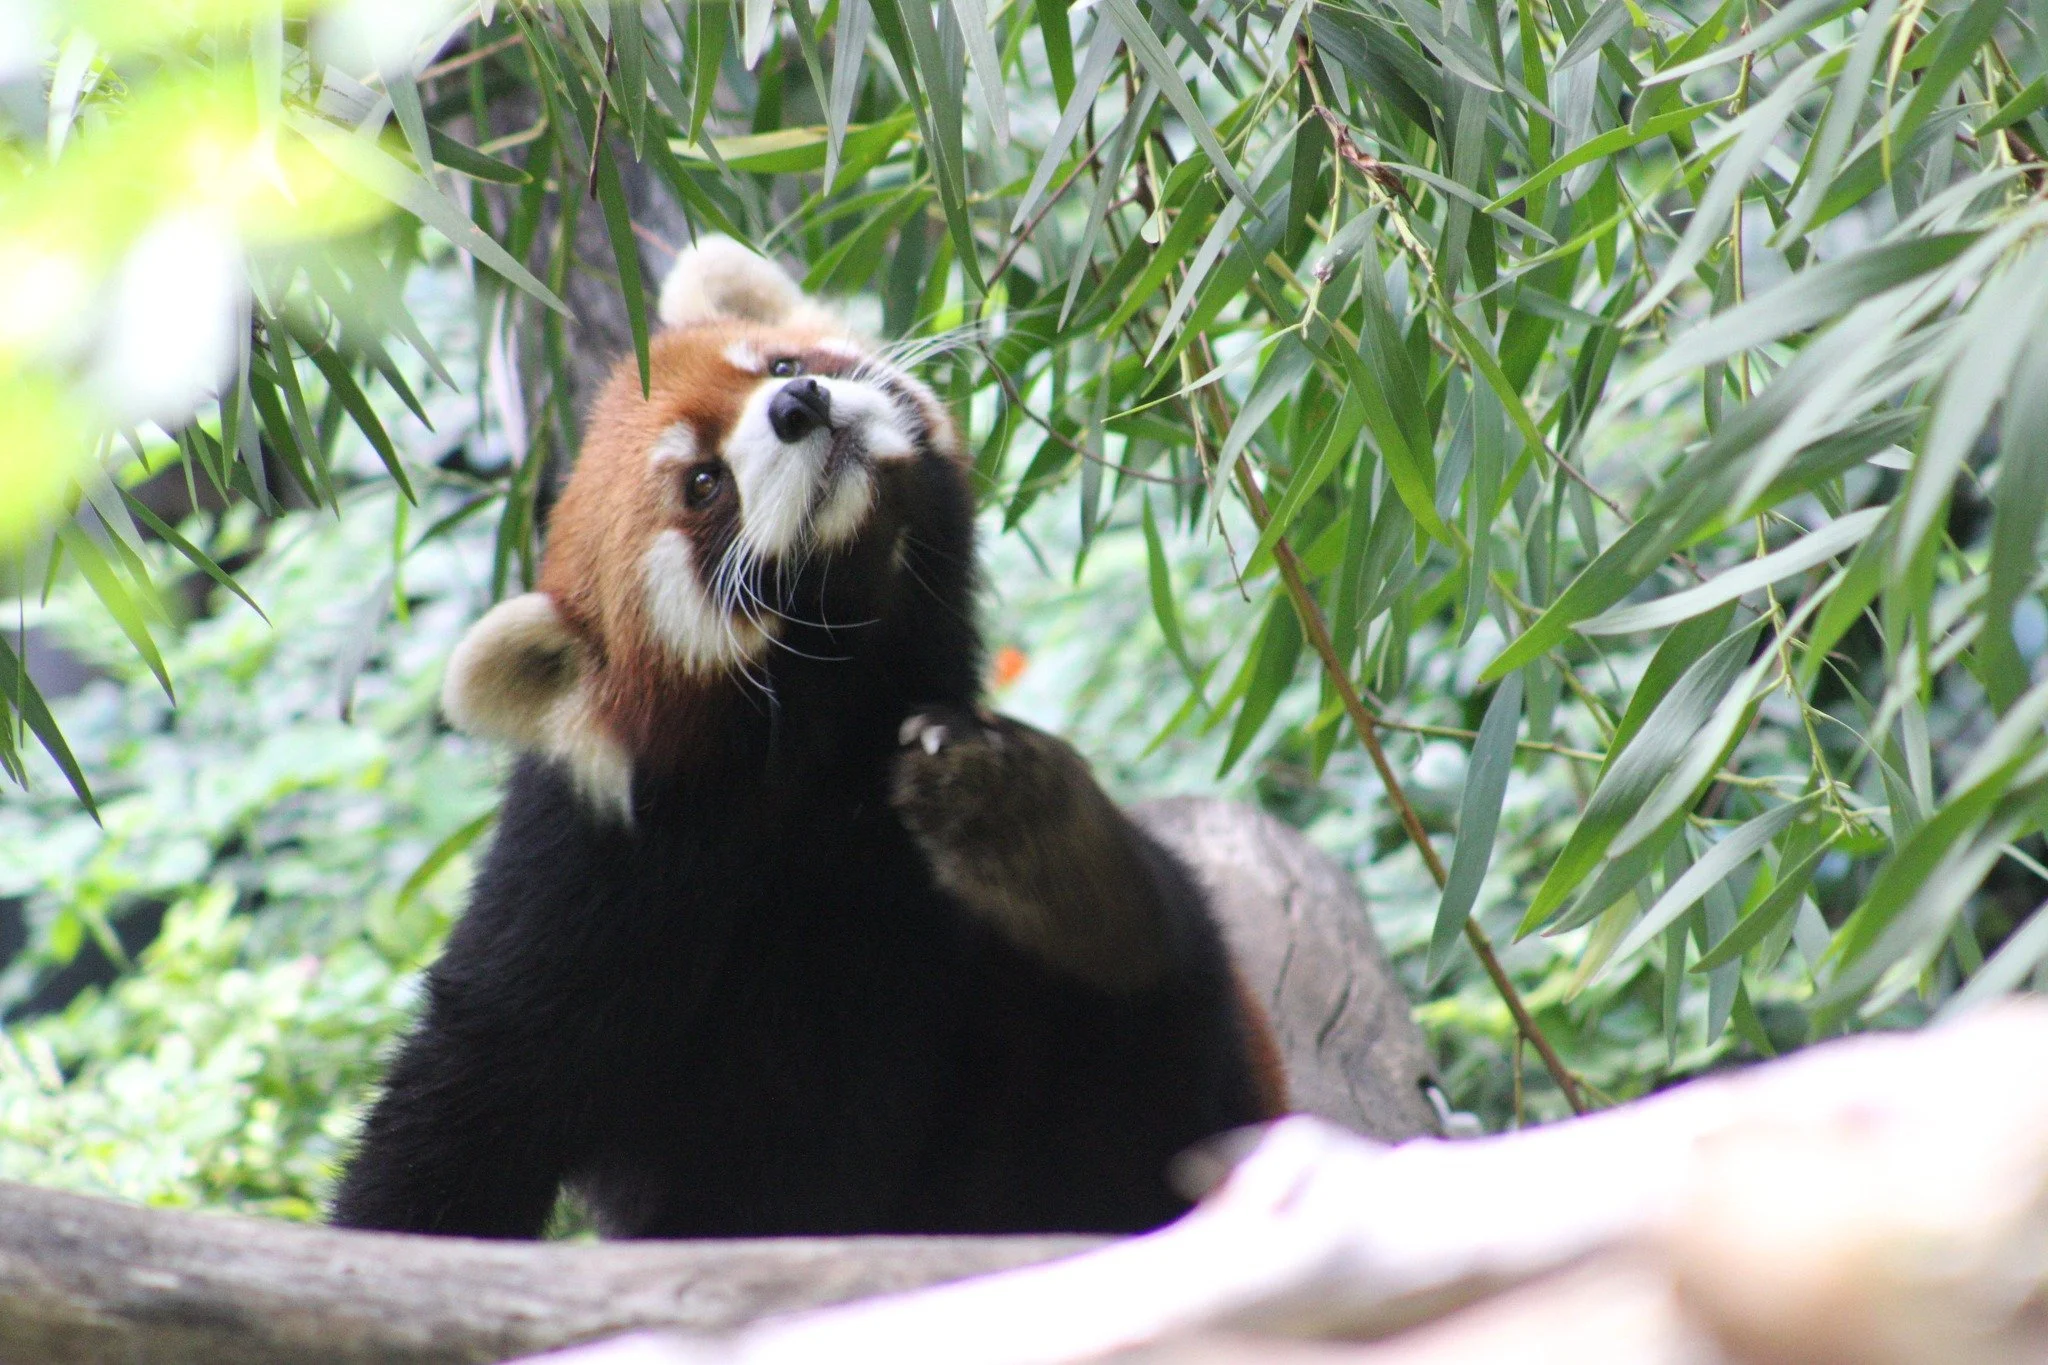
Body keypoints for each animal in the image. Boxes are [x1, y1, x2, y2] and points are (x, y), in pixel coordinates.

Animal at [329, 239, 1286, 1239]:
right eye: (702, 482)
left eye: (779, 363)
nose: (799, 405)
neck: (823, 769)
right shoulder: (589, 887)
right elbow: (469, 1105)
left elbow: (1150, 1041)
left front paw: (1033, 839)